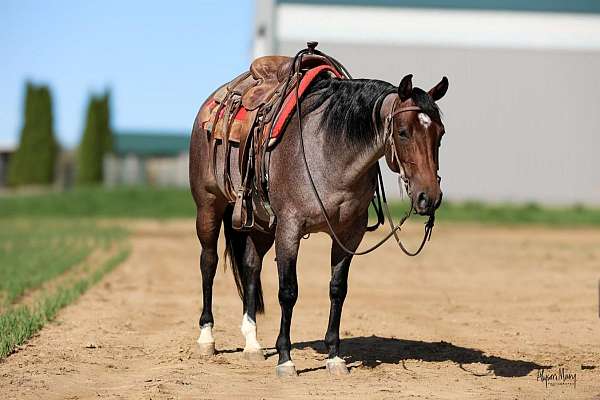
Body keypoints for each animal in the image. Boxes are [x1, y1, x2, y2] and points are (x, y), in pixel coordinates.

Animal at [190, 55, 448, 376]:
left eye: (440, 134)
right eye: (403, 131)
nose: (429, 197)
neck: (329, 151)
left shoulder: (350, 233)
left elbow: (338, 289)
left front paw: (334, 357)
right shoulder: (289, 228)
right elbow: (288, 291)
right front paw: (285, 359)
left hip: (261, 223)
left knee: (250, 266)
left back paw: (252, 345)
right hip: (209, 206)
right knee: (208, 262)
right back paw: (206, 338)